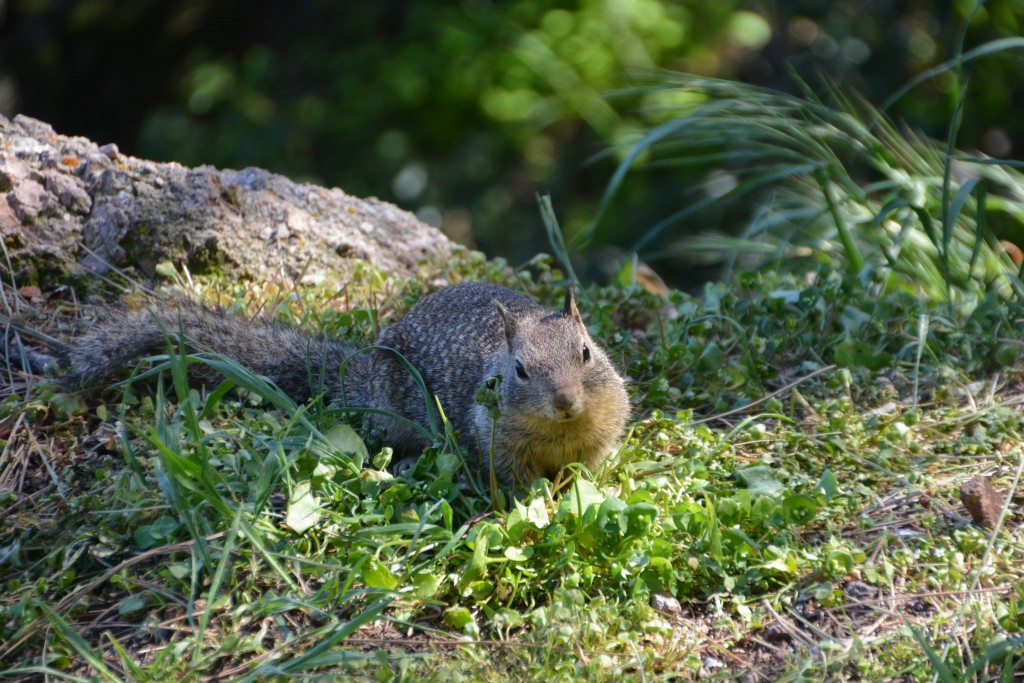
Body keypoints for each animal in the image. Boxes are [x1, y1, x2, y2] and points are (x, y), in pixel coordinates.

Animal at [63, 282, 630, 485]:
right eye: (519, 372)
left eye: (585, 352)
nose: (567, 401)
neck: (559, 433)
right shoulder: (496, 444)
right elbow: (515, 484)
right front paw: (541, 499)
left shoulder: (600, 436)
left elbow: (588, 470)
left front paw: (580, 489)